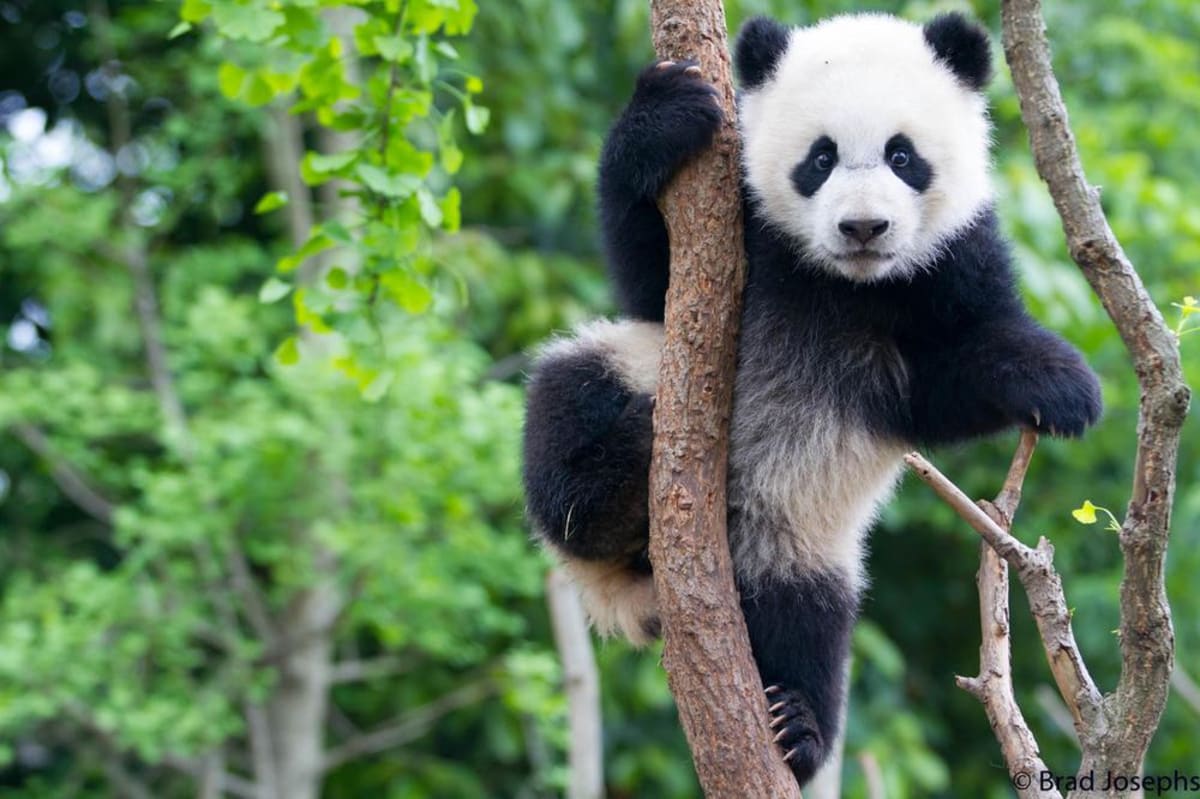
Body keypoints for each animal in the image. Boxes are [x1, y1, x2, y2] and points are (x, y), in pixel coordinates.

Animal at [522, 11, 1101, 788]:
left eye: (902, 156)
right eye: (819, 159)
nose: (863, 228)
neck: (842, 283)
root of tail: (634, 584)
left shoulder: (951, 263)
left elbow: (949, 378)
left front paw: (1063, 386)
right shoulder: (737, 233)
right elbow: (648, 275)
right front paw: (665, 112)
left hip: (798, 540)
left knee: (807, 621)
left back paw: (796, 728)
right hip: (621, 370)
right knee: (566, 412)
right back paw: (618, 475)